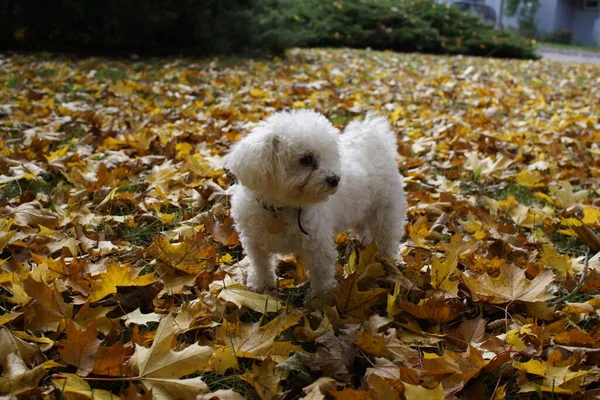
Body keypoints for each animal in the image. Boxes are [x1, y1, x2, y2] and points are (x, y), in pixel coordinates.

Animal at [225, 109, 408, 296]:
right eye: (306, 159)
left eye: (330, 156)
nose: (335, 179)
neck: (279, 209)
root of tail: (374, 140)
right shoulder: (255, 242)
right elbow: (260, 263)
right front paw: (260, 284)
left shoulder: (318, 246)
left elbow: (321, 273)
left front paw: (322, 297)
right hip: (361, 209)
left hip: (386, 211)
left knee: (388, 238)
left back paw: (391, 261)